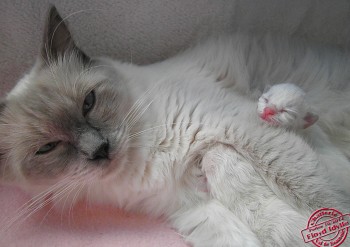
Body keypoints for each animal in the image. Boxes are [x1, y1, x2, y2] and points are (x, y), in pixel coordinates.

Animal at [0, 6, 350, 247]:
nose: (100, 149)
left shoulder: (245, 131)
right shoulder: (190, 205)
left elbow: (322, 200)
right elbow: (240, 230)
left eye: (89, 102)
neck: (145, 159)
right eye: (48, 148)